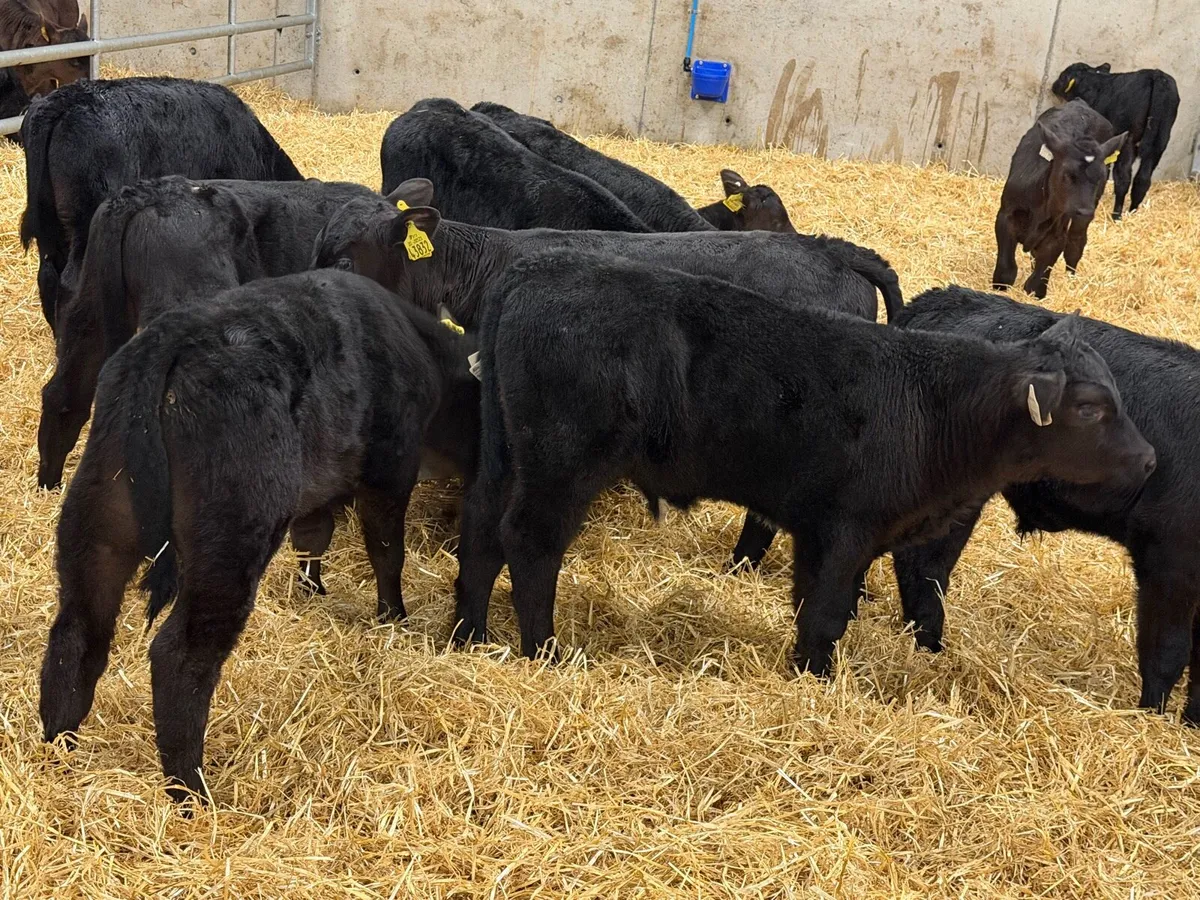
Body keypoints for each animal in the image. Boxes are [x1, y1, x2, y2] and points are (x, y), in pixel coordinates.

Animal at [38, 269, 476, 802]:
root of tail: (172, 341)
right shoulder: (389, 468)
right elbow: (387, 552)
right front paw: (393, 616)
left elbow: (315, 534)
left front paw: (313, 588)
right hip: (230, 540)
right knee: (179, 657)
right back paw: (192, 793)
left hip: (98, 524)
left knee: (78, 634)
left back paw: (60, 754)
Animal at [450, 250, 1154, 677]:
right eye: (1090, 407)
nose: (1149, 459)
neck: (933, 407)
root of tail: (535, 267)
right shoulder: (847, 529)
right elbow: (825, 613)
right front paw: (817, 678)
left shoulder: (820, 533)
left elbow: (809, 604)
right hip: (561, 464)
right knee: (529, 541)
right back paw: (543, 651)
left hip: (504, 457)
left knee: (481, 534)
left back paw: (468, 636)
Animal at [890, 286, 1199, 723]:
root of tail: (941, 298)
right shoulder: (1169, 559)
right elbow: (1167, 652)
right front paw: (1150, 719)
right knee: (924, 566)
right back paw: (931, 649)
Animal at [992, 99, 1125, 300]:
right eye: (1067, 174)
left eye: (1102, 176)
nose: (1086, 212)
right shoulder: (1006, 215)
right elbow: (1006, 271)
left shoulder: (1057, 231)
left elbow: (1042, 271)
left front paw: (1037, 291)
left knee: (1076, 243)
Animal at [1051, 63, 1180, 220]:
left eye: (1063, 76)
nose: (1053, 85)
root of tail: (1157, 76)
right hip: (1159, 142)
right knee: (1143, 179)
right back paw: (1132, 212)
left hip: (1127, 139)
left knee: (1123, 177)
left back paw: (1116, 215)